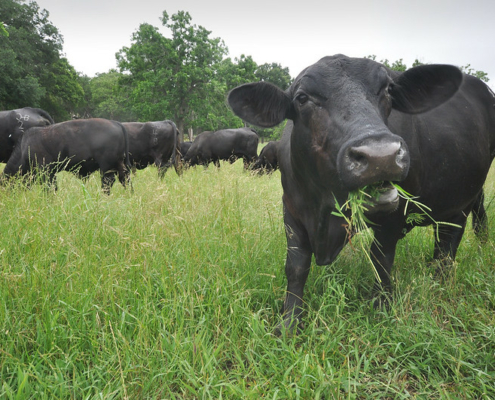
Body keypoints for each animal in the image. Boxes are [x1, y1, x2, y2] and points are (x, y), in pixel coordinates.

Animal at [3, 117, 132, 194]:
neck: (24, 147)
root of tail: (116, 123)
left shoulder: (46, 170)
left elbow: (50, 186)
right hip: (119, 164)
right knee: (124, 178)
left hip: (106, 166)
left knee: (108, 181)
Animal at [229, 54, 495, 332]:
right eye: (302, 98)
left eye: (388, 90)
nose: (381, 156)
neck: (323, 207)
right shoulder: (292, 210)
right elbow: (296, 266)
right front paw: (289, 322)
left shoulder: (392, 217)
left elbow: (381, 261)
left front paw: (382, 307)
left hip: (463, 199)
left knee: (449, 243)